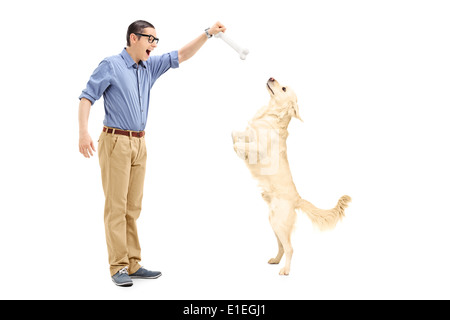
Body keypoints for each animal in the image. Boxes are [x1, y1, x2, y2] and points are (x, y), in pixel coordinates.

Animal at [232, 77, 352, 276]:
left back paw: (286, 270)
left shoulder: (259, 148)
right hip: (274, 223)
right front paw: (238, 139)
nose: (271, 77)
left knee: (290, 248)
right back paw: (275, 260)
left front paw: (239, 149)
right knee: (282, 246)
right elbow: (237, 134)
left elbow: (239, 145)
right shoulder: (249, 133)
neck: (270, 114)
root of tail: (298, 199)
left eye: (283, 89)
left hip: (279, 223)